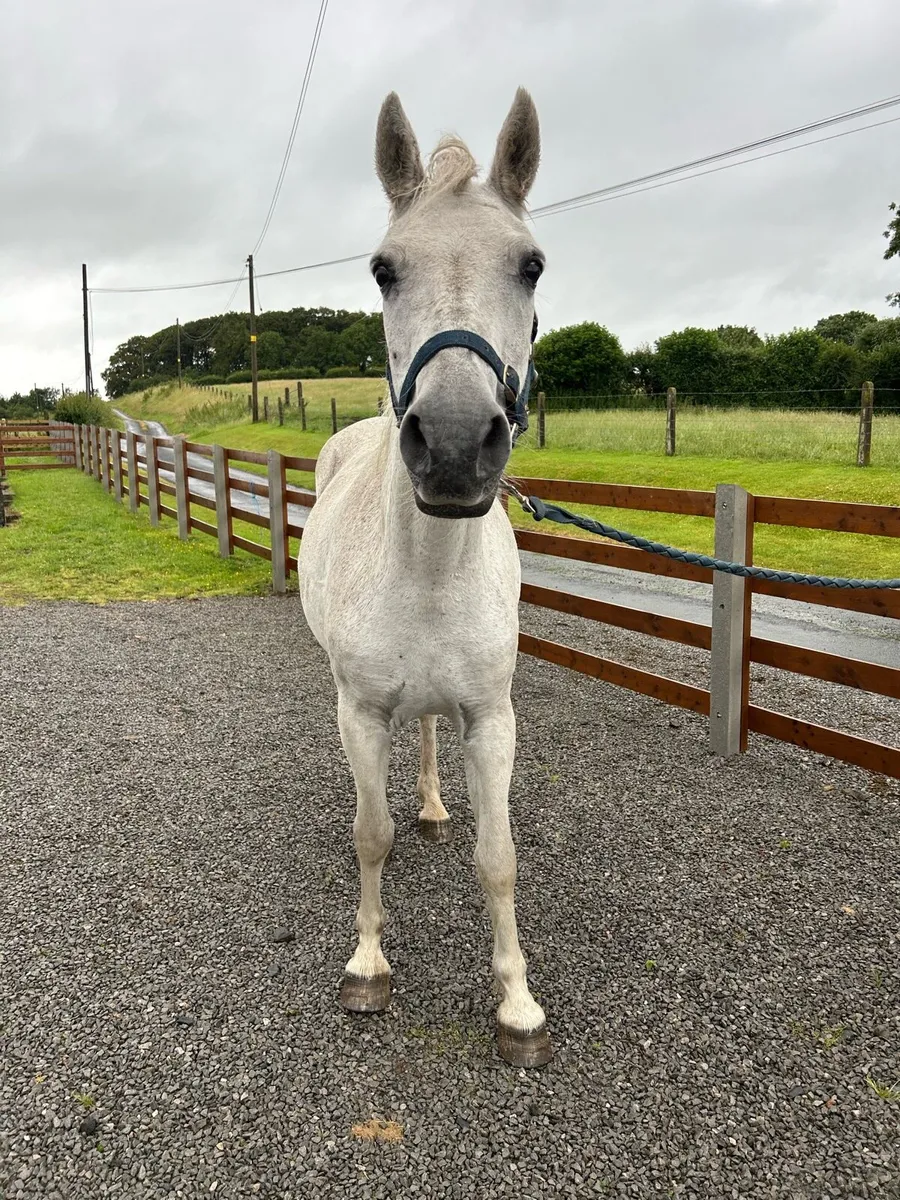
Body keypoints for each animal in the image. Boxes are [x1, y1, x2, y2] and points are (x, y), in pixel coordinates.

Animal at [298, 89, 550, 1068]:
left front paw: (517, 1005)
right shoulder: (360, 712)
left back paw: (437, 806)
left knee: (432, 736)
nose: (449, 446)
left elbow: (499, 858)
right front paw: (368, 966)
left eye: (530, 265)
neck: (433, 570)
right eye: (382, 269)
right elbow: (370, 834)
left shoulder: (493, 718)